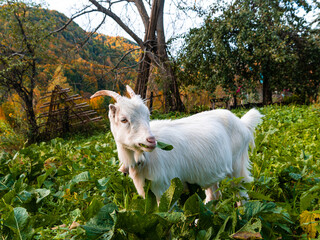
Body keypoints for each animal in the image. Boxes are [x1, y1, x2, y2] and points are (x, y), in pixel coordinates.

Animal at [90, 86, 262, 202]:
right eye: (123, 119)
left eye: (147, 115)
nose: (151, 140)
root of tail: (242, 123)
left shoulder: (164, 189)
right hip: (211, 173)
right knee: (214, 196)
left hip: (237, 168)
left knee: (241, 195)